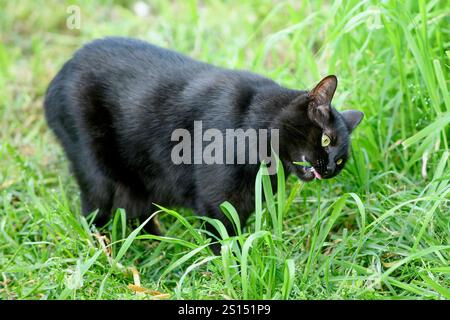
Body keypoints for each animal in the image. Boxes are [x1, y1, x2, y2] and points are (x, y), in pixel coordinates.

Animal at [44, 36, 364, 239]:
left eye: (342, 160)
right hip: (97, 174)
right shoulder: (217, 202)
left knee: (136, 213)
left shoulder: (245, 202)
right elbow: (224, 241)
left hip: (138, 182)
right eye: (325, 140)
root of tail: (58, 75)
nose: (329, 168)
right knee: (93, 216)